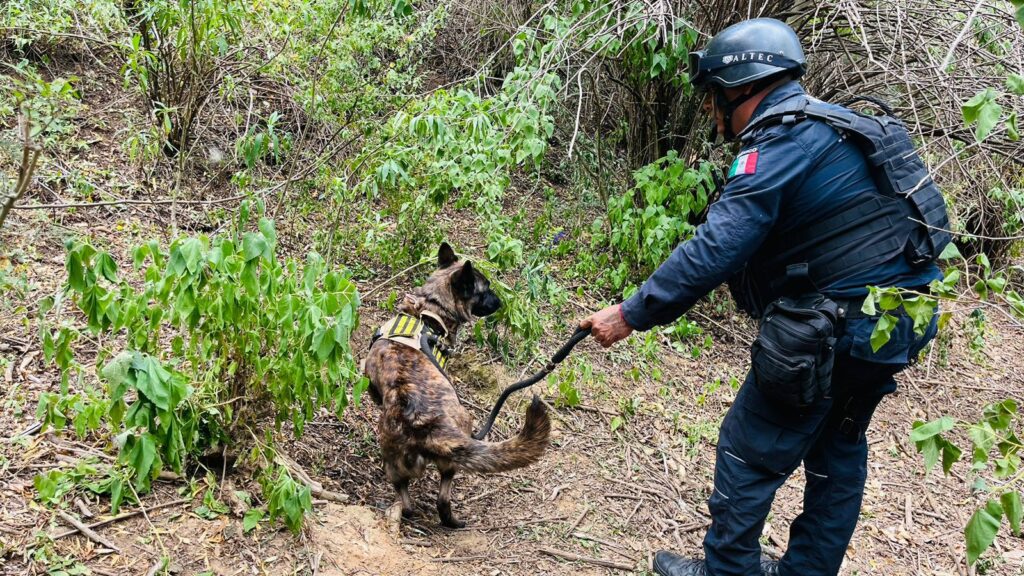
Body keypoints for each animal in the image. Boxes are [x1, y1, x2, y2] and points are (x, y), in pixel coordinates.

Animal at [362, 240, 548, 524]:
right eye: (485, 289)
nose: (501, 302)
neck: (430, 309)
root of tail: (423, 425)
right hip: (456, 444)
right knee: (443, 500)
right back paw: (455, 523)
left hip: (395, 467)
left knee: (407, 502)